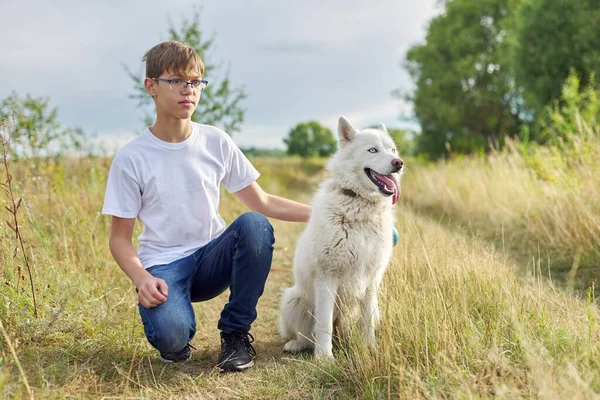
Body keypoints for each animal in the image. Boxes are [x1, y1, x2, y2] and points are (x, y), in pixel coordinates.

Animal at [278, 115, 404, 360]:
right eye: (372, 150)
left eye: (392, 149)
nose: (398, 163)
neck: (360, 208)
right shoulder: (327, 276)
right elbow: (324, 323)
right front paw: (325, 358)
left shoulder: (371, 280)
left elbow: (367, 323)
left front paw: (370, 348)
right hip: (292, 300)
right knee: (306, 336)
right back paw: (296, 345)